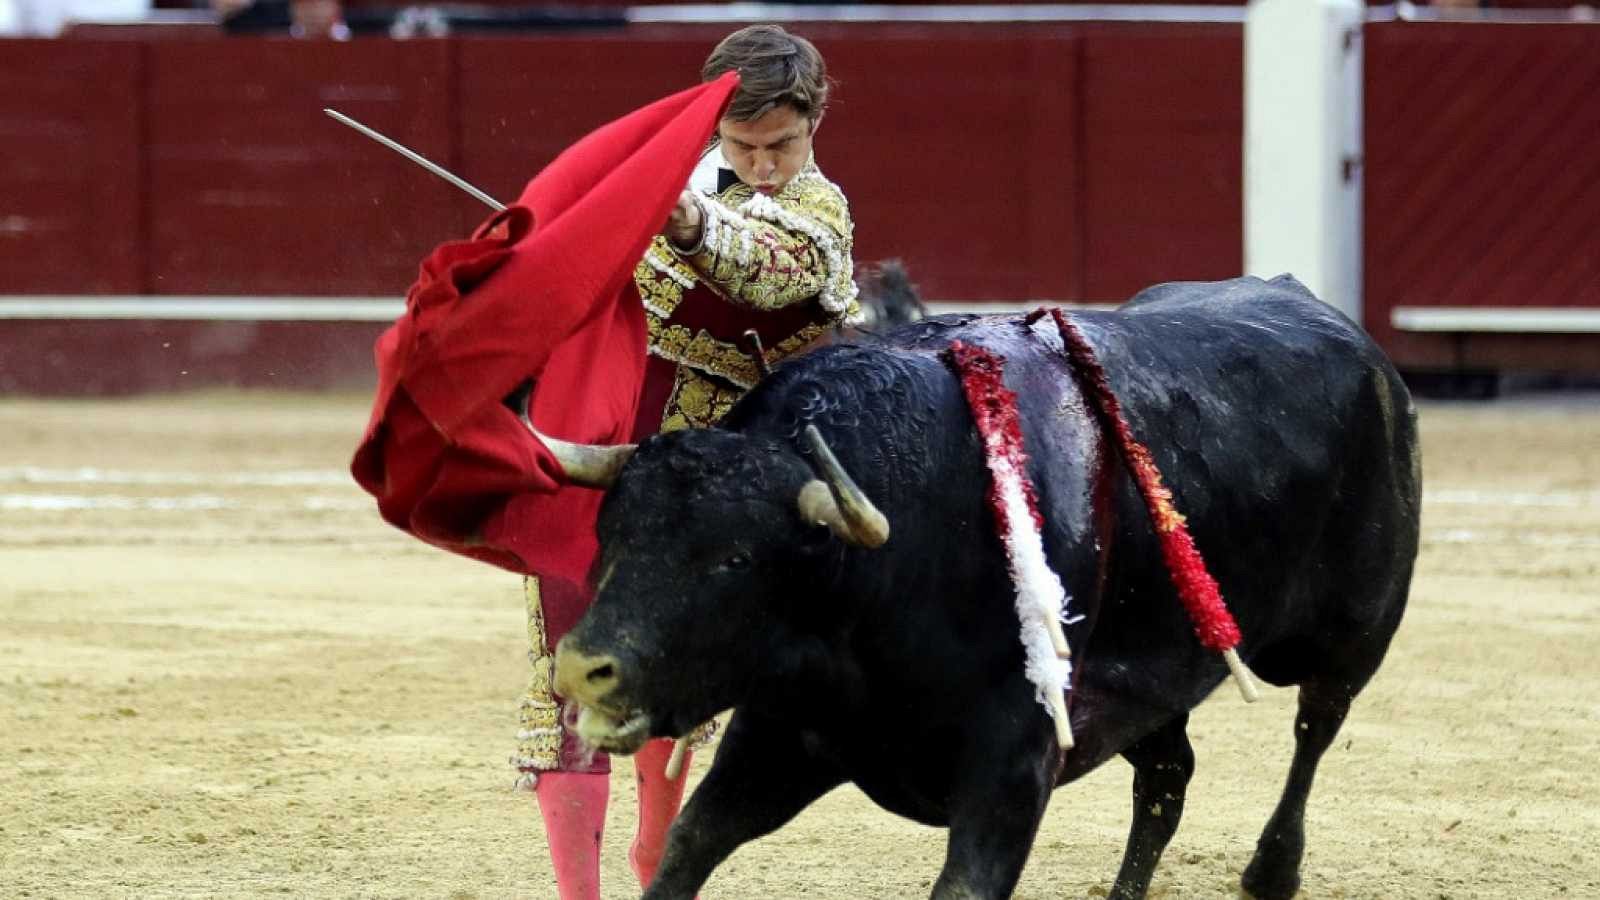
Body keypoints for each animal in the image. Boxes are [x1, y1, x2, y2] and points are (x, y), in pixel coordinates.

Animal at [540, 273, 1427, 896]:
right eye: (610, 535)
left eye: (734, 560)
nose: (582, 668)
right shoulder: (785, 731)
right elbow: (688, 844)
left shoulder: (1012, 765)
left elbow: (964, 885)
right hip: (1151, 683)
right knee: (1167, 781)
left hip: (1353, 633)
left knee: (1315, 724)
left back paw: (1271, 871)